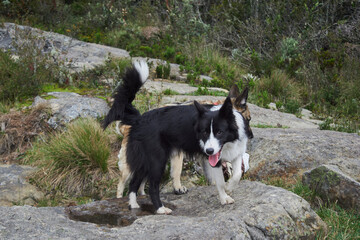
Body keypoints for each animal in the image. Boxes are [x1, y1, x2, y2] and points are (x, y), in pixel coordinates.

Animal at [102, 61, 240, 214]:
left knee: (134, 184)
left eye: (220, 132)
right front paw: (225, 195)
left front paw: (227, 191)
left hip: (145, 162)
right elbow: (217, 179)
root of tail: (139, 119)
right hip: (156, 161)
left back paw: (133, 205)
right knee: (148, 186)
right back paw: (160, 208)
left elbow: (235, 174)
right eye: (206, 132)